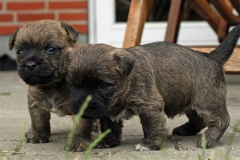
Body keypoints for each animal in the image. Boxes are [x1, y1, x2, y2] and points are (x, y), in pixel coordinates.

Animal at [66, 24, 240, 151]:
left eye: (102, 86)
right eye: (72, 85)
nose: (81, 106)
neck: (128, 82)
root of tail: (211, 57)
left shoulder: (150, 105)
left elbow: (151, 125)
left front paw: (149, 144)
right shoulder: (109, 110)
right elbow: (109, 126)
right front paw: (108, 141)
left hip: (206, 101)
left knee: (221, 119)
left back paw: (209, 139)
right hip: (189, 100)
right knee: (198, 119)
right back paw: (186, 130)